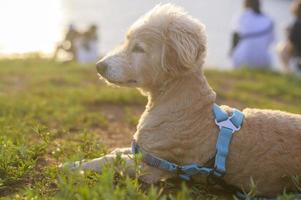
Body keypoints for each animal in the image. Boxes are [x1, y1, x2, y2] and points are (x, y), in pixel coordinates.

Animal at [74, 3, 298, 197]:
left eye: (138, 48)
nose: (99, 66)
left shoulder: (150, 166)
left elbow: (107, 161)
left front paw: (72, 166)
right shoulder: (143, 151)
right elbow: (115, 152)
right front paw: (80, 161)